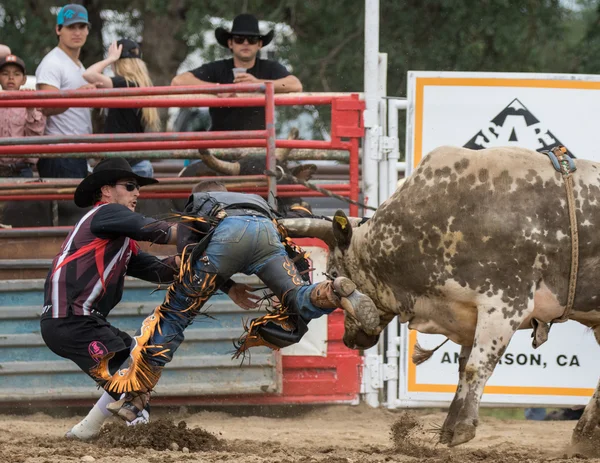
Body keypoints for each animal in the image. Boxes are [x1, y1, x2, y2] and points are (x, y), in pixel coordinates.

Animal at [282, 146, 600, 450]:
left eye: (334, 273)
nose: (349, 339)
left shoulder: (504, 305)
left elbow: (476, 367)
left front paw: (462, 429)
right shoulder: (468, 311)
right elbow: (462, 369)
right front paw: (448, 428)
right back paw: (584, 437)